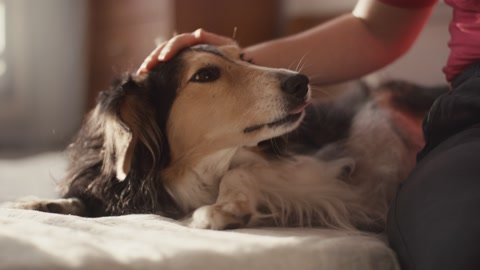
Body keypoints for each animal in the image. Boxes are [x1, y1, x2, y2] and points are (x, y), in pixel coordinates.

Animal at [12, 43, 446, 230]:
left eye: (244, 59)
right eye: (205, 74)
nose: (301, 82)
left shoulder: (326, 171)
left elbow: (241, 171)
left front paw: (224, 208)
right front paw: (42, 203)